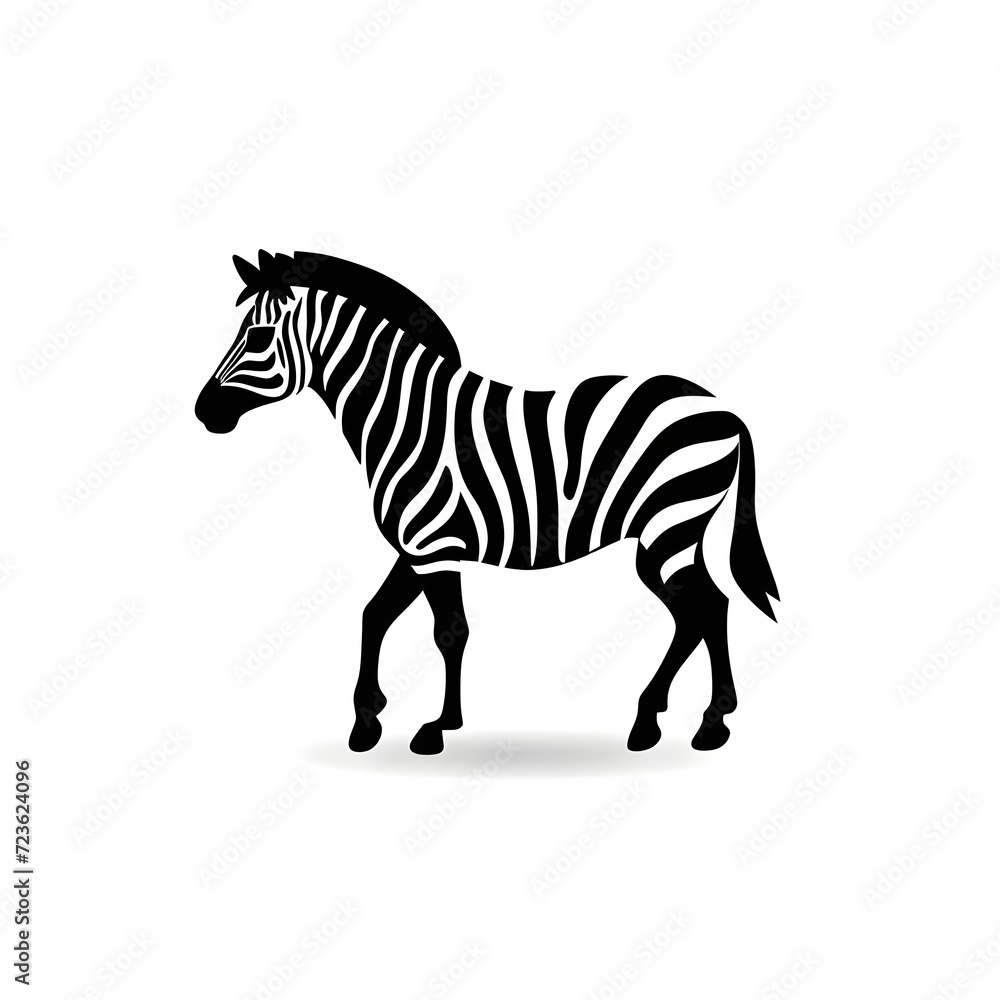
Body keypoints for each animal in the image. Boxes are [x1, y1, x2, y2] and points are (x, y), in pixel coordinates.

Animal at [196, 251, 779, 755]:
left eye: (258, 336)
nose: (204, 412)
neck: (406, 418)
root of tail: (724, 409)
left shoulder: (434, 547)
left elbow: (447, 633)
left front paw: (436, 727)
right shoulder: (415, 549)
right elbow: (374, 615)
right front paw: (367, 720)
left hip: (667, 527)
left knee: (702, 608)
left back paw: (676, 722)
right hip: (672, 533)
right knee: (708, 607)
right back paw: (695, 721)